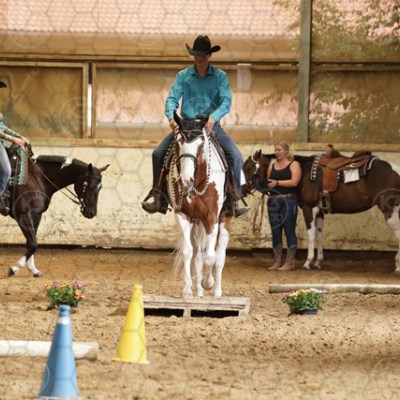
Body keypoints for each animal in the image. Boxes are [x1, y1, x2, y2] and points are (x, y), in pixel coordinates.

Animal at [4, 147, 109, 277]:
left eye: (100, 187)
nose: (91, 213)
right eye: (89, 185)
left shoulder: (36, 215)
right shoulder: (23, 216)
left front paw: (33, 269)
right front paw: (14, 268)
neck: (37, 178)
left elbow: (31, 242)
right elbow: (33, 244)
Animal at [166, 113, 231, 298]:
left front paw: (208, 282)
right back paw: (199, 292)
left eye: (201, 144)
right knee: (197, 255)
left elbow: (211, 257)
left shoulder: (212, 217)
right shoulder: (183, 215)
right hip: (197, 223)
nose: (185, 180)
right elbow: (189, 252)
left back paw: (216, 291)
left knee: (219, 255)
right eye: (178, 143)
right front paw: (187, 290)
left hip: (224, 219)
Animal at [243, 148, 400, 273]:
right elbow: (319, 235)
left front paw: (307, 263)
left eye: (248, 168)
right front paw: (318, 262)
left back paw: (397, 266)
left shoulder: (309, 208)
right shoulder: (319, 212)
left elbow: (311, 235)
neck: (304, 173)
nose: (244, 188)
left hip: (390, 211)